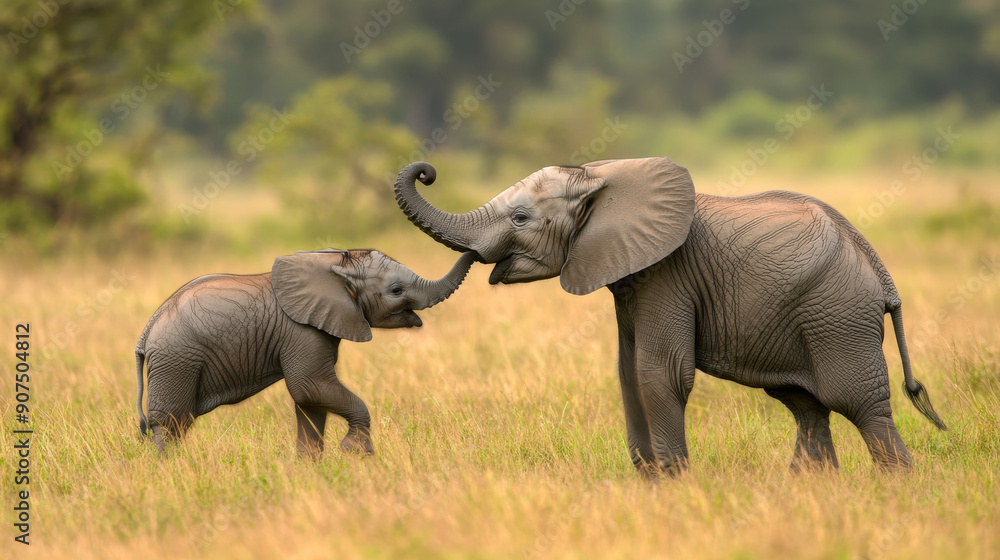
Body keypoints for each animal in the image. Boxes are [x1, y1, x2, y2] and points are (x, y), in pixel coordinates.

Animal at [135, 249, 476, 458]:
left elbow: (311, 401)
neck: (337, 263)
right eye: (396, 290)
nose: (477, 251)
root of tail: (147, 330)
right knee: (172, 423)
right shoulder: (302, 331)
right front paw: (358, 452)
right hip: (177, 360)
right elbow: (308, 387)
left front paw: (310, 468)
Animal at [393, 158, 947, 475]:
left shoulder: (668, 273)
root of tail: (880, 270)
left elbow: (660, 373)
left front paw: (674, 482)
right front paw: (650, 480)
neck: (603, 177)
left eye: (522, 218)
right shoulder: (628, 274)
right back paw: (812, 489)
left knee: (856, 403)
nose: (427, 169)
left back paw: (897, 488)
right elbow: (627, 371)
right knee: (806, 406)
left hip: (839, 316)